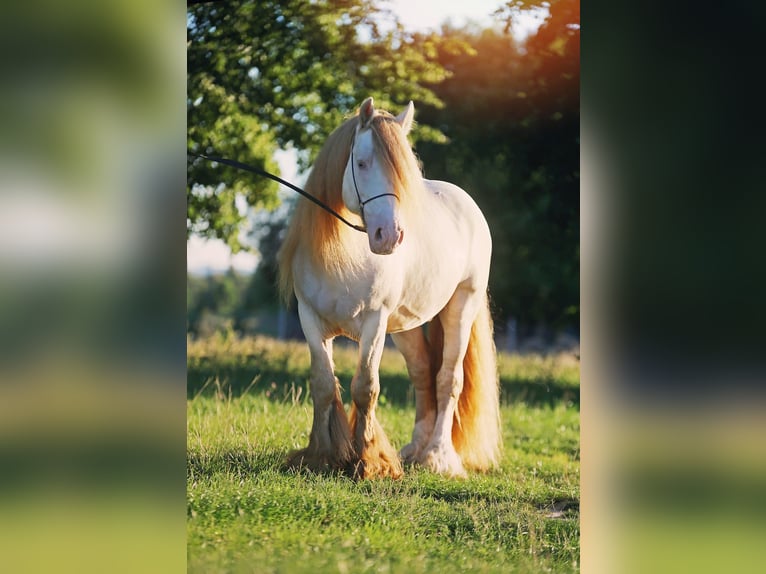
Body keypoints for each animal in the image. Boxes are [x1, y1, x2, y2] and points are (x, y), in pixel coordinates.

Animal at [280, 97, 500, 480]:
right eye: (362, 163)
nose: (390, 236)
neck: (344, 252)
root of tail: (467, 204)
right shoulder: (310, 319)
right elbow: (323, 385)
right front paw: (322, 456)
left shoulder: (374, 323)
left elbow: (365, 387)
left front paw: (367, 461)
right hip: (406, 327)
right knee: (423, 374)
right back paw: (415, 449)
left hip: (461, 306)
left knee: (448, 379)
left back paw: (437, 457)